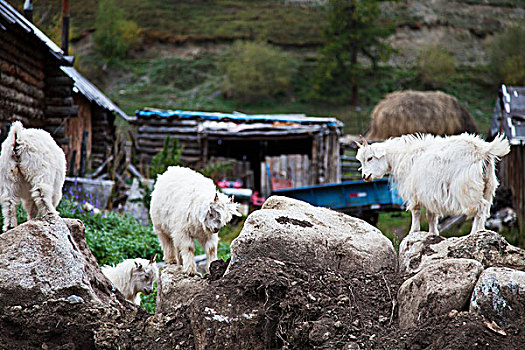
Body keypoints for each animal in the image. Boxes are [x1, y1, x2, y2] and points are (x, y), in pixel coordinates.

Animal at [354, 134, 510, 235]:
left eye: (370, 158)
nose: (365, 176)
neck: (402, 156)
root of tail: (482, 150)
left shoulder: (414, 192)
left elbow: (416, 211)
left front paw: (413, 231)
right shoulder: (430, 195)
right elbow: (431, 216)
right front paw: (433, 233)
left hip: (467, 188)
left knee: (480, 207)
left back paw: (474, 233)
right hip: (488, 186)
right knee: (485, 208)